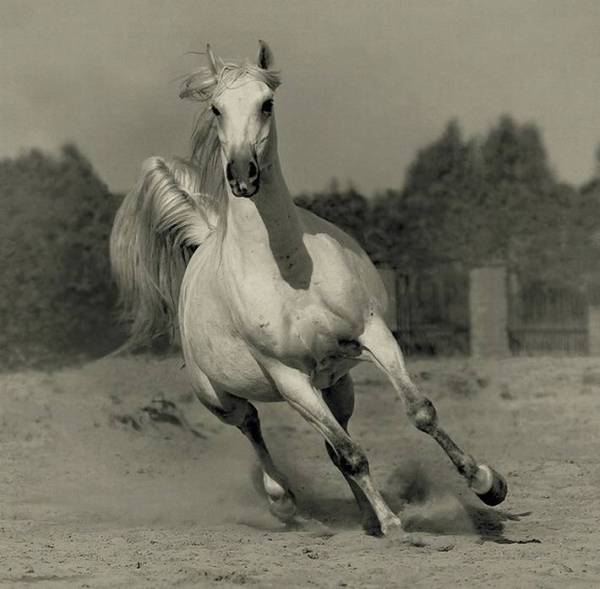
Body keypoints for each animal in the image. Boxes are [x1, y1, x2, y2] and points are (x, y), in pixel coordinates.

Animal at [110, 41, 507, 537]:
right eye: (216, 108)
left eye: (267, 103)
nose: (243, 176)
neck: (289, 270)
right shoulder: (288, 376)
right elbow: (354, 455)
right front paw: (394, 525)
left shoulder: (373, 336)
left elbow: (419, 412)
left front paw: (487, 483)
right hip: (222, 399)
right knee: (255, 426)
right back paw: (284, 502)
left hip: (337, 384)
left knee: (334, 443)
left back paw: (363, 517)